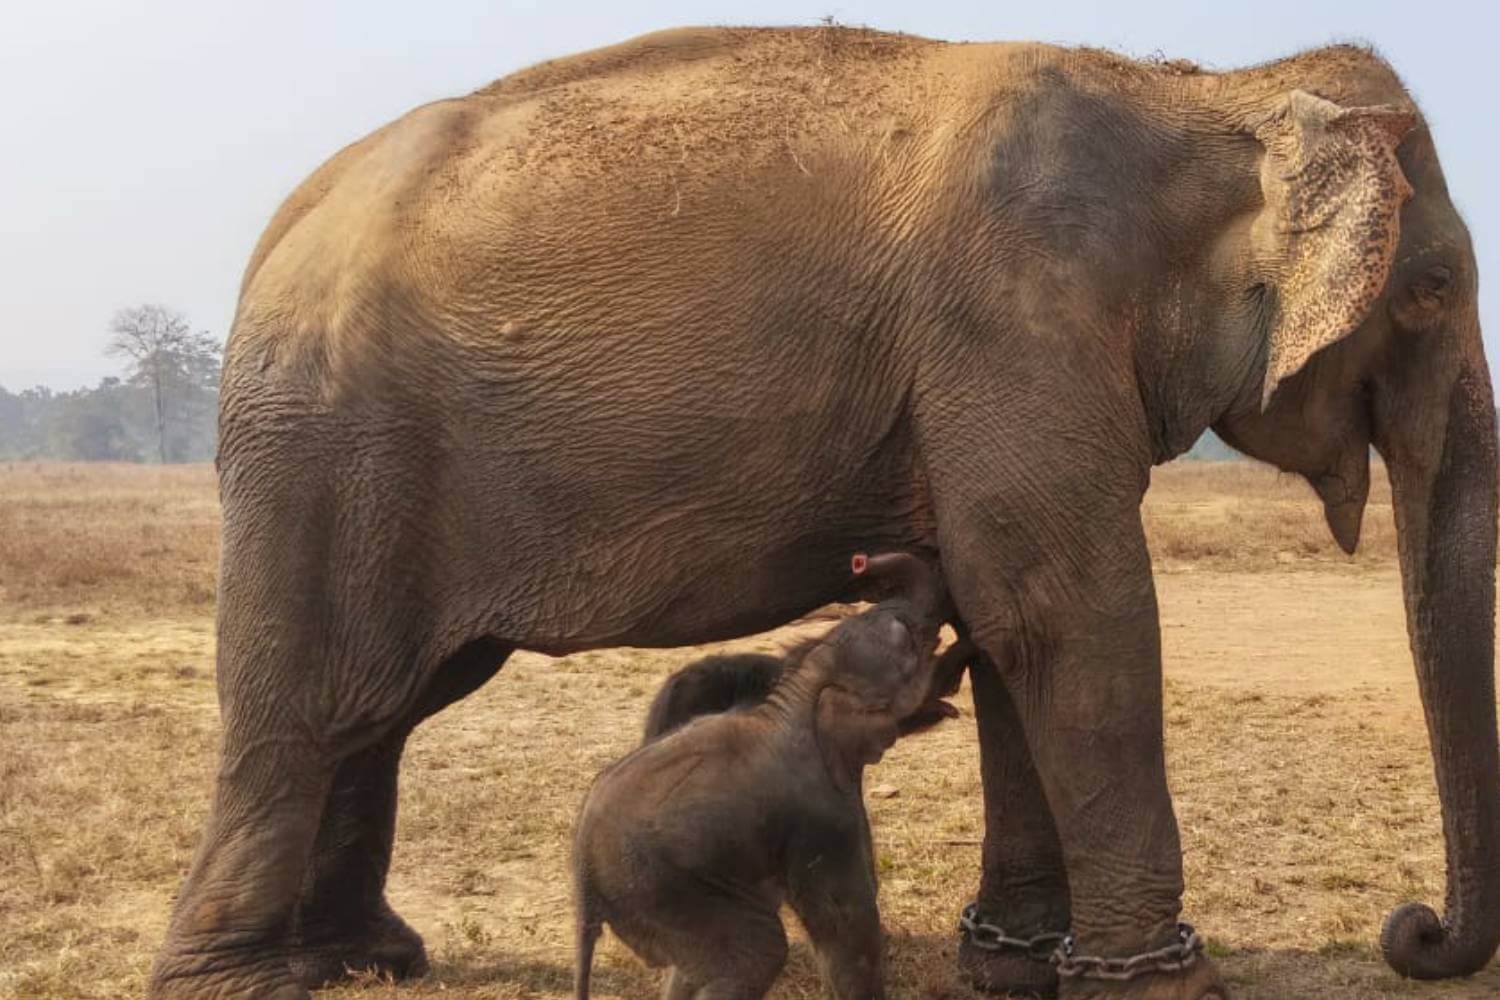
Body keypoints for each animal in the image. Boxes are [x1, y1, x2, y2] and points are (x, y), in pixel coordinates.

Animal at [573, 551, 959, 1000]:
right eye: (909, 640)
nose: (860, 562)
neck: (801, 689)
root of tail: (583, 883)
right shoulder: (819, 817)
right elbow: (848, 919)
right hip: (660, 890)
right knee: (759, 952)